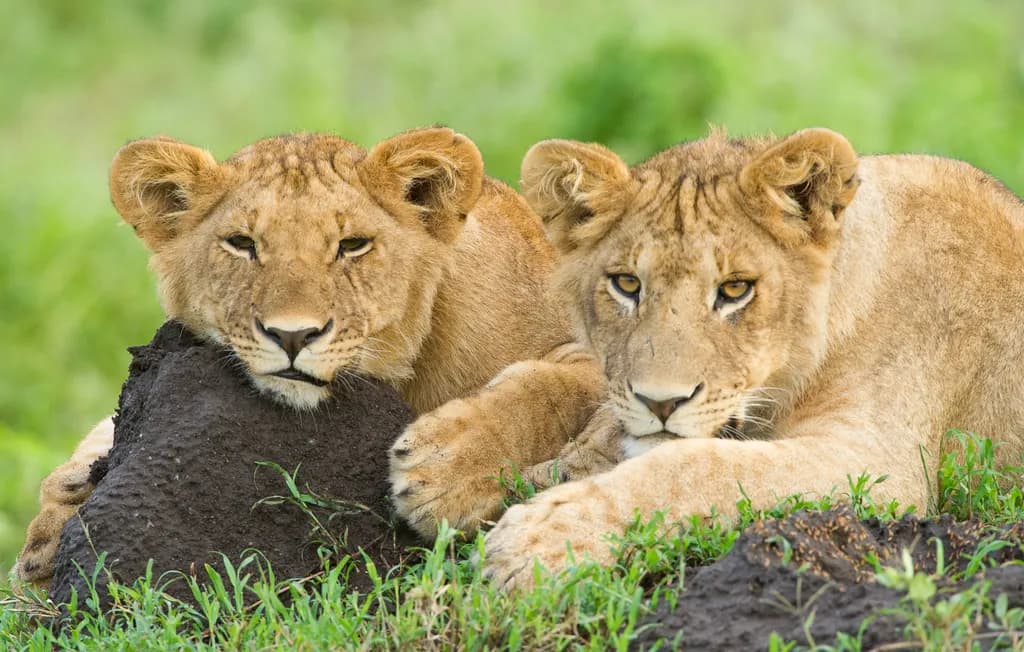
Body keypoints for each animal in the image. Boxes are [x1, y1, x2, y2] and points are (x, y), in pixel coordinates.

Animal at [14, 128, 605, 588]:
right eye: (242, 243)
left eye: (352, 245)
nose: (292, 335)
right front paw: (54, 524)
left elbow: (546, 392)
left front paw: (444, 471)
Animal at [481, 127, 1024, 588]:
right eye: (627, 284)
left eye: (735, 289)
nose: (660, 403)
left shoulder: (880, 465)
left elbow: (698, 467)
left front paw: (536, 539)